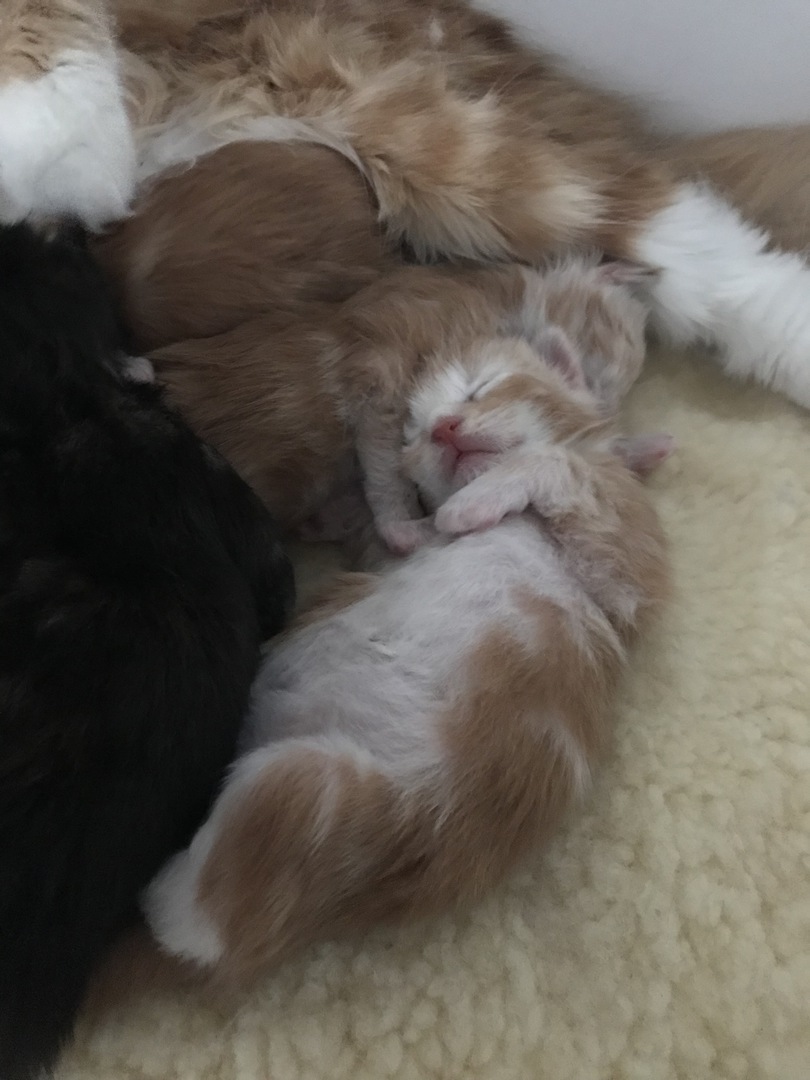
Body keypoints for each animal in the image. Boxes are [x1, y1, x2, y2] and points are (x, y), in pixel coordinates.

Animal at [142, 313, 671, 983]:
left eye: (480, 387)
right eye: (416, 431)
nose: (445, 429)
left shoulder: (630, 566)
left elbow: (554, 460)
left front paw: (469, 506)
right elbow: (386, 532)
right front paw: (392, 518)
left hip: (314, 792)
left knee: (208, 921)